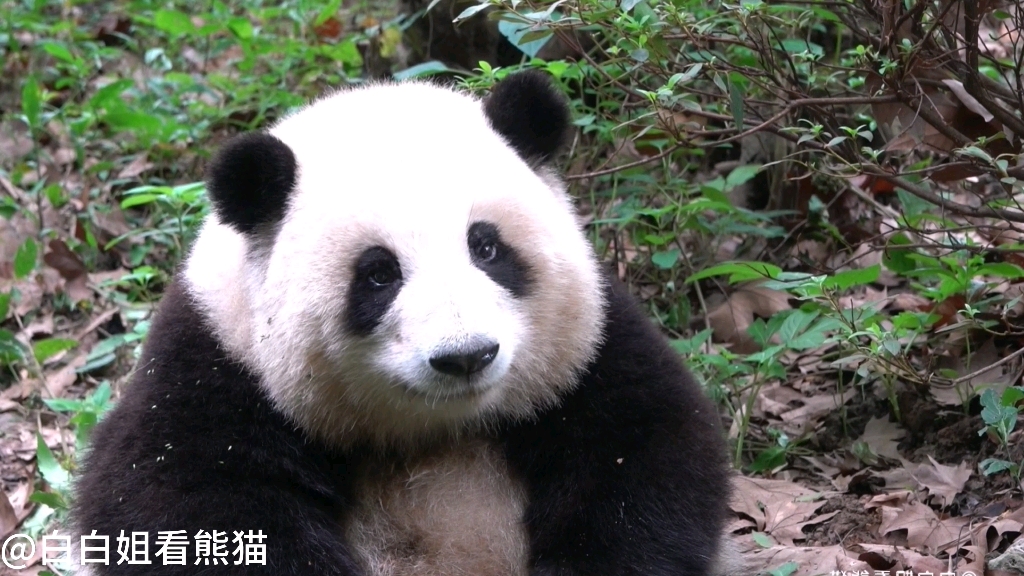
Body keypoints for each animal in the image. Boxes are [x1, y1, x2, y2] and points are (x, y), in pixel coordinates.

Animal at [74, 71, 745, 573]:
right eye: (378, 274)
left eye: (486, 246)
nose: (466, 355)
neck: (435, 434)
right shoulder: (218, 363)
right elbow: (174, 495)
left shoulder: (591, 346)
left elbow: (650, 453)